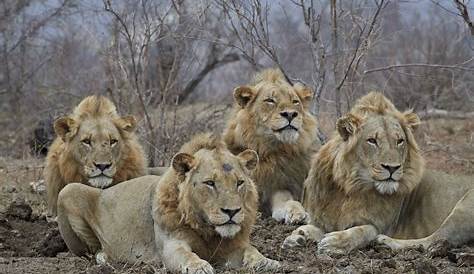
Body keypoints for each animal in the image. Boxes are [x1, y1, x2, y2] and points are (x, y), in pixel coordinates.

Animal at [56, 132, 280, 272]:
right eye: (210, 183)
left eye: (239, 182)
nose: (232, 212)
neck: (207, 229)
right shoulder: (171, 245)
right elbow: (185, 255)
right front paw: (199, 266)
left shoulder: (233, 246)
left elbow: (252, 251)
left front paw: (268, 262)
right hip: (68, 190)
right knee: (89, 252)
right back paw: (104, 257)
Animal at [284, 91, 472, 253]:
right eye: (372, 141)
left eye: (400, 141)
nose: (392, 168)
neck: (349, 188)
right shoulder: (325, 219)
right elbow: (312, 227)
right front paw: (298, 236)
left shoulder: (382, 225)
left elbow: (363, 230)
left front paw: (336, 242)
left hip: (463, 209)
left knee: (435, 240)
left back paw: (385, 243)